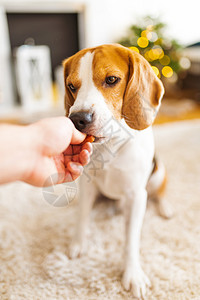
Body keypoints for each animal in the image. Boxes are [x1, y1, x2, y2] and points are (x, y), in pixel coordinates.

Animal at [63, 43, 171, 298]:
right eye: (71, 86)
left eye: (111, 79)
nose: (77, 119)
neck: (110, 145)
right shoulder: (87, 186)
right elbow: (82, 217)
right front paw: (78, 243)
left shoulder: (136, 196)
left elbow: (131, 239)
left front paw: (132, 275)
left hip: (159, 172)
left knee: (160, 193)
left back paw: (164, 208)